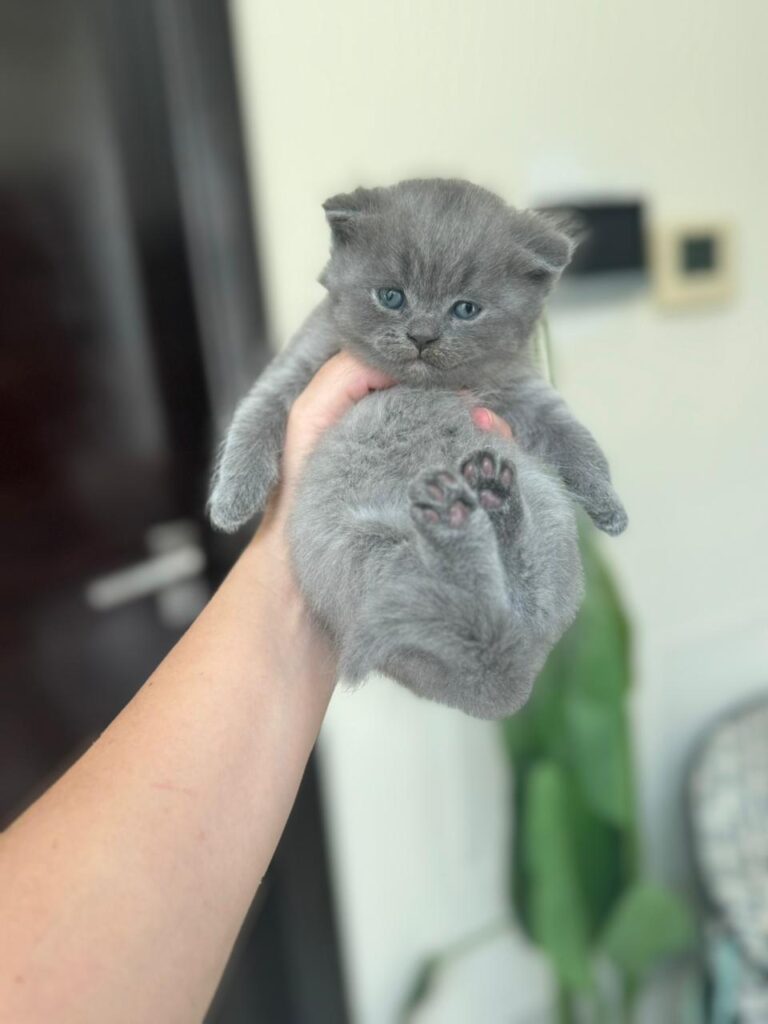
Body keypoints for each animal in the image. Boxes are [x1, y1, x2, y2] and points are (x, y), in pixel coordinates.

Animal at [207, 178, 626, 720]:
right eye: (391, 297)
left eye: (465, 309)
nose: (422, 336)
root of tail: (512, 682)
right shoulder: (300, 366)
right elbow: (253, 414)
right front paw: (231, 504)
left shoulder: (520, 389)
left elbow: (573, 436)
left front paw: (610, 508)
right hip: (368, 554)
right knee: (467, 596)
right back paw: (465, 516)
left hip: (543, 510)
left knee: (511, 593)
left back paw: (490, 503)